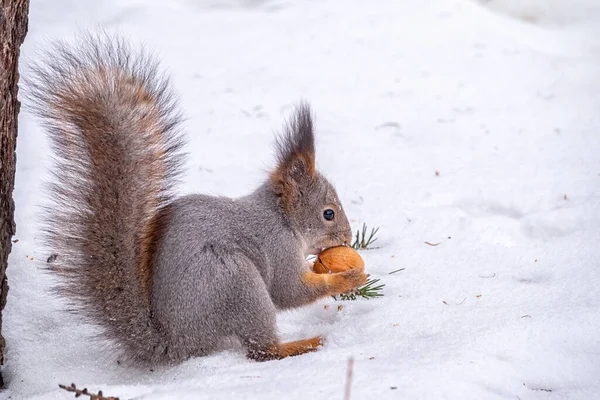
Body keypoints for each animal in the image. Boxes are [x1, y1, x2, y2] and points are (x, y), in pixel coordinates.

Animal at [25, 33, 368, 366]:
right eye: (328, 214)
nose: (348, 238)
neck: (281, 218)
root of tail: (177, 343)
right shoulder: (277, 247)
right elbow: (289, 291)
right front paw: (348, 278)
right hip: (236, 282)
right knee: (261, 350)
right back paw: (302, 344)